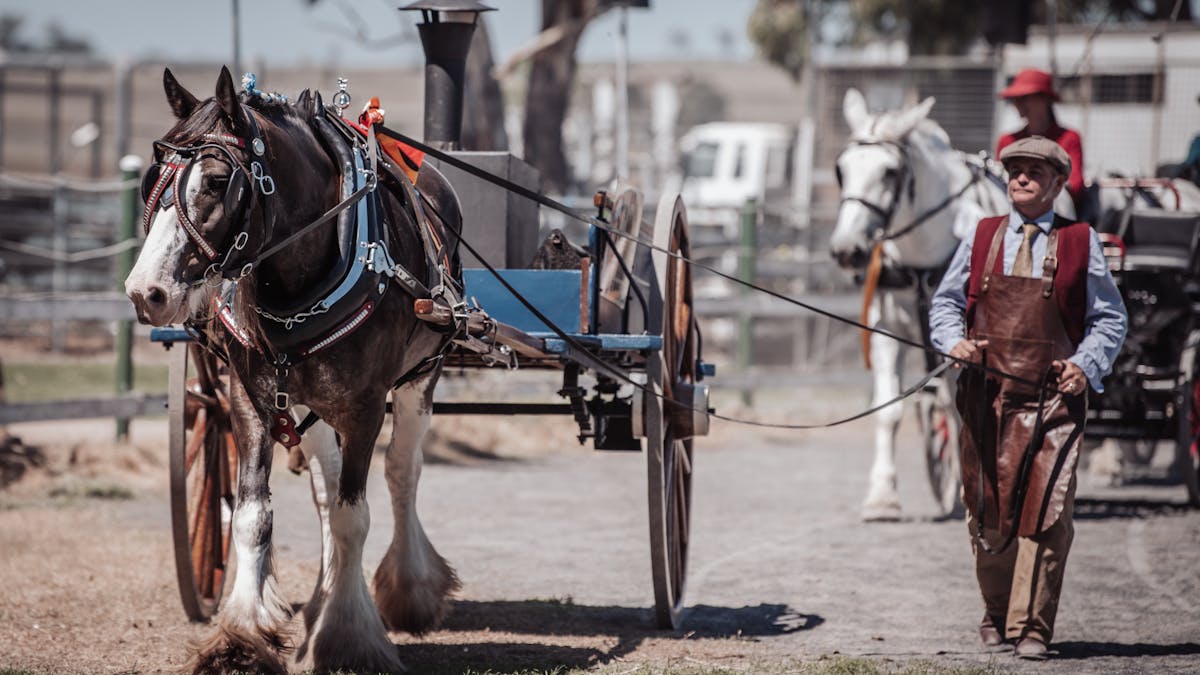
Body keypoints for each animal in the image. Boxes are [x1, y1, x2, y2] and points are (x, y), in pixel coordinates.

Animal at [125, 67, 463, 673]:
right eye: (150, 183)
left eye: (217, 181)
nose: (146, 292)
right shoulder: (249, 400)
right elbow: (253, 515)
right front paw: (241, 636)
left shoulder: (364, 406)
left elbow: (357, 516)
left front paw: (352, 637)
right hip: (309, 401)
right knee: (326, 488)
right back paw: (324, 602)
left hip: (420, 378)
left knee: (402, 472)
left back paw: (410, 590)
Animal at [830, 88, 1009, 522]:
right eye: (841, 169)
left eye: (890, 172)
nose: (846, 249)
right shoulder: (886, 331)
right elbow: (888, 411)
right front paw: (882, 496)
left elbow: (963, 408)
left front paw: (968, 489)